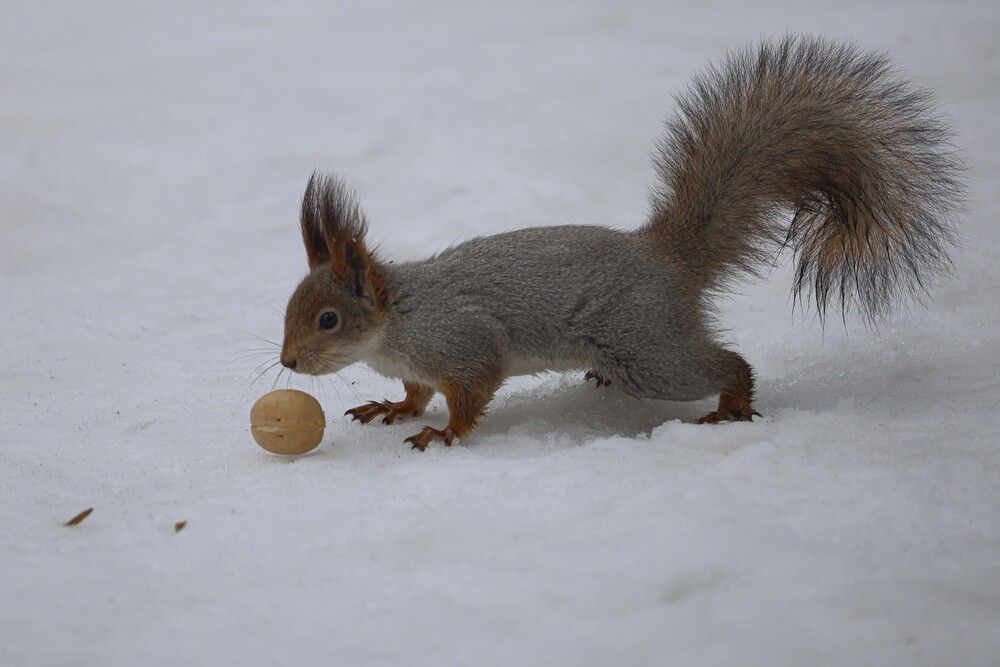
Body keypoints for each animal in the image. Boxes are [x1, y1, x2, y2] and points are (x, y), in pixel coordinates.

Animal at [277, 36, 963, 450]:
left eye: (329, 319)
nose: (287, 363)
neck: (395, 322)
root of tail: (664, 258)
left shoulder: (462, 342)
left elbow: (471, 392)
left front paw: (445, 435)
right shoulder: (419, 366)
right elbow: (416, 393)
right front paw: (392, 408)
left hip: (647, 350)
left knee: (724, 365)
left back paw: (731, 406)